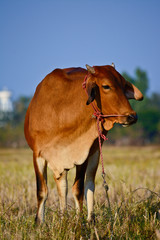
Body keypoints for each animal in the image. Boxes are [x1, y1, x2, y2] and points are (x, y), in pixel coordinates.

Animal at [24, 64, 143, 223]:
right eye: (106, 86)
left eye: (124, 86)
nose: (131, 116)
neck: (62, 113)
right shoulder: (38, 154)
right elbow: (42, 191)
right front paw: (39, 223)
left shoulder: (83, 154)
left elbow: (79, 190)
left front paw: (79, 222)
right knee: (62, 186)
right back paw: (63, 217)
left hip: (95, 153)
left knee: (89, 184)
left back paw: (90, 219)